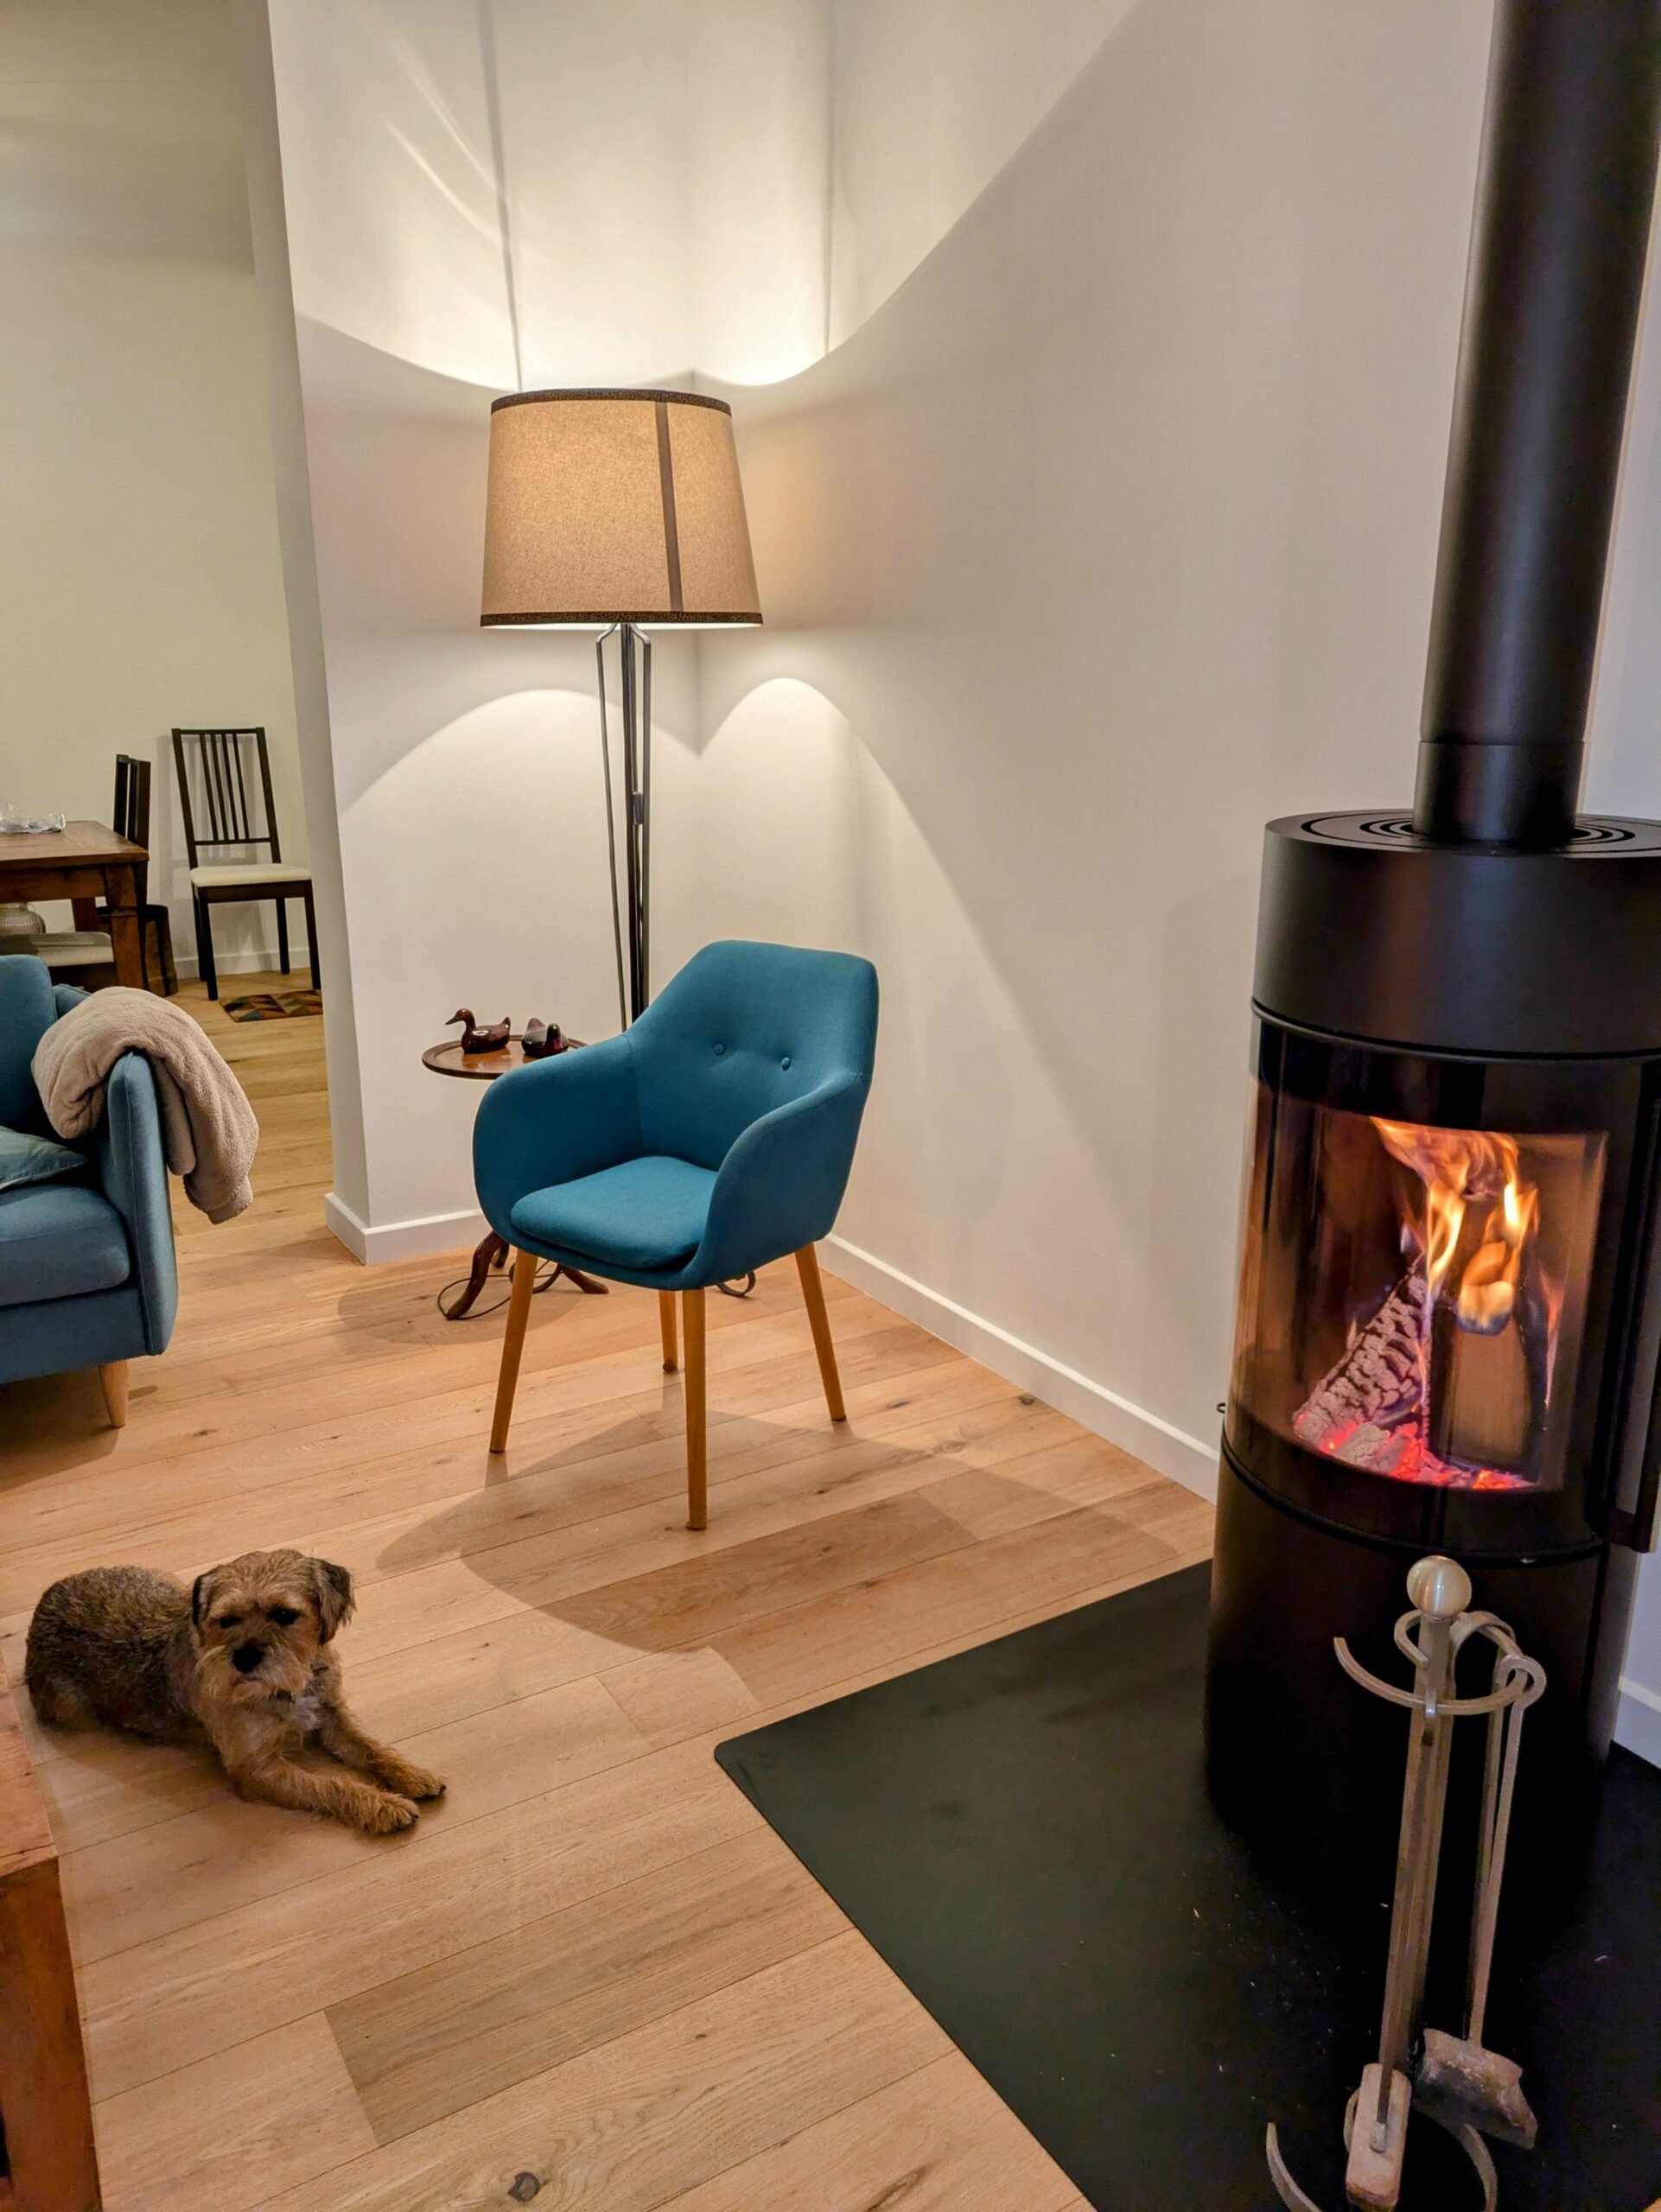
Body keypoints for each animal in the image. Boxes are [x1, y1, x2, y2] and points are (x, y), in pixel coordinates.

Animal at [24, 1550, 444, 1833]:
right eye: (226, 1621)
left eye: (284, 1615)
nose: (243, 1658)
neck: (288, 1687)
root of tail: (43, 1602)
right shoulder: (258, 1769)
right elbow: (328, 1785)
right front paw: (382, 1806)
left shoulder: (331, 1714)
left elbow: (370, 1747)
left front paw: (411, 1774)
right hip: (71, 1709)